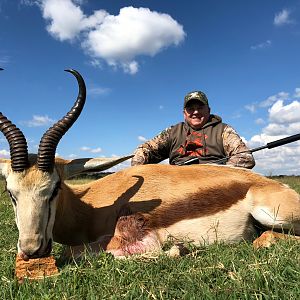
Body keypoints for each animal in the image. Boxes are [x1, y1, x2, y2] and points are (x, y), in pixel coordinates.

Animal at [0, 69, 300, 262]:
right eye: (10, 192)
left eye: (55, 188)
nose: (32, 249)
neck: (93, 205)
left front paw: (176, 251)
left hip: (273, 216)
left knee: (267, 238)